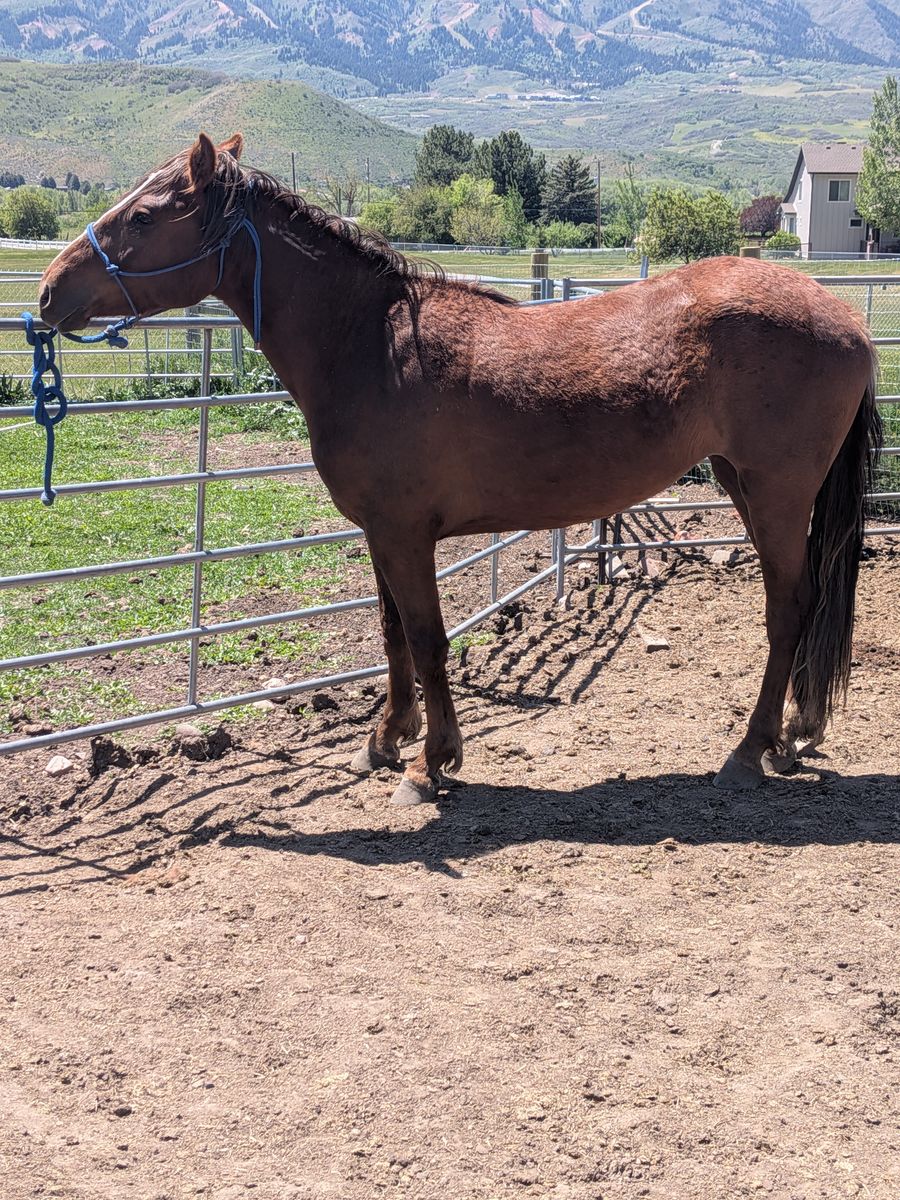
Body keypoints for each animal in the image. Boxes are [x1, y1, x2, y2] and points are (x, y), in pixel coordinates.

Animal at [39, 133, 882, 805]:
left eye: (144, 216)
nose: (48, 292)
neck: (369, 343)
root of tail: (843, 318)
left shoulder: (407, 535)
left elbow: (428, 638)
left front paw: (431, 762)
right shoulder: (382, 533)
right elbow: (392, 637)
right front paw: (388, 738)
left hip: (776, 494)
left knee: (789, 610)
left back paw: (750, 749)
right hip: (745, 483)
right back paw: (796, 731)